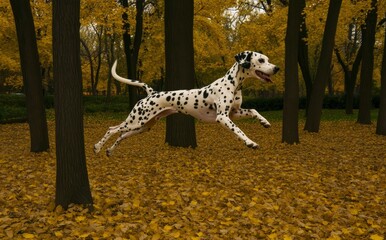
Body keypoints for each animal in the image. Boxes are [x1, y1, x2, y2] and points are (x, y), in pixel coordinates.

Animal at [94, 50, 278, 156]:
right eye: (261, 60)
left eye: (267, 59)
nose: (276, 68)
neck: (233, 84)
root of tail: (151, 93)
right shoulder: (223, 117)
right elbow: (238, 130)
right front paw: (250, 142)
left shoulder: (235, 112)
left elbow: (254, 110)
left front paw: (265, 122)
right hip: (135, 121)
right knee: (112, 129)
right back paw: (97, 147)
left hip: (143, 126)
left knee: (121, 135)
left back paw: (109, 150)